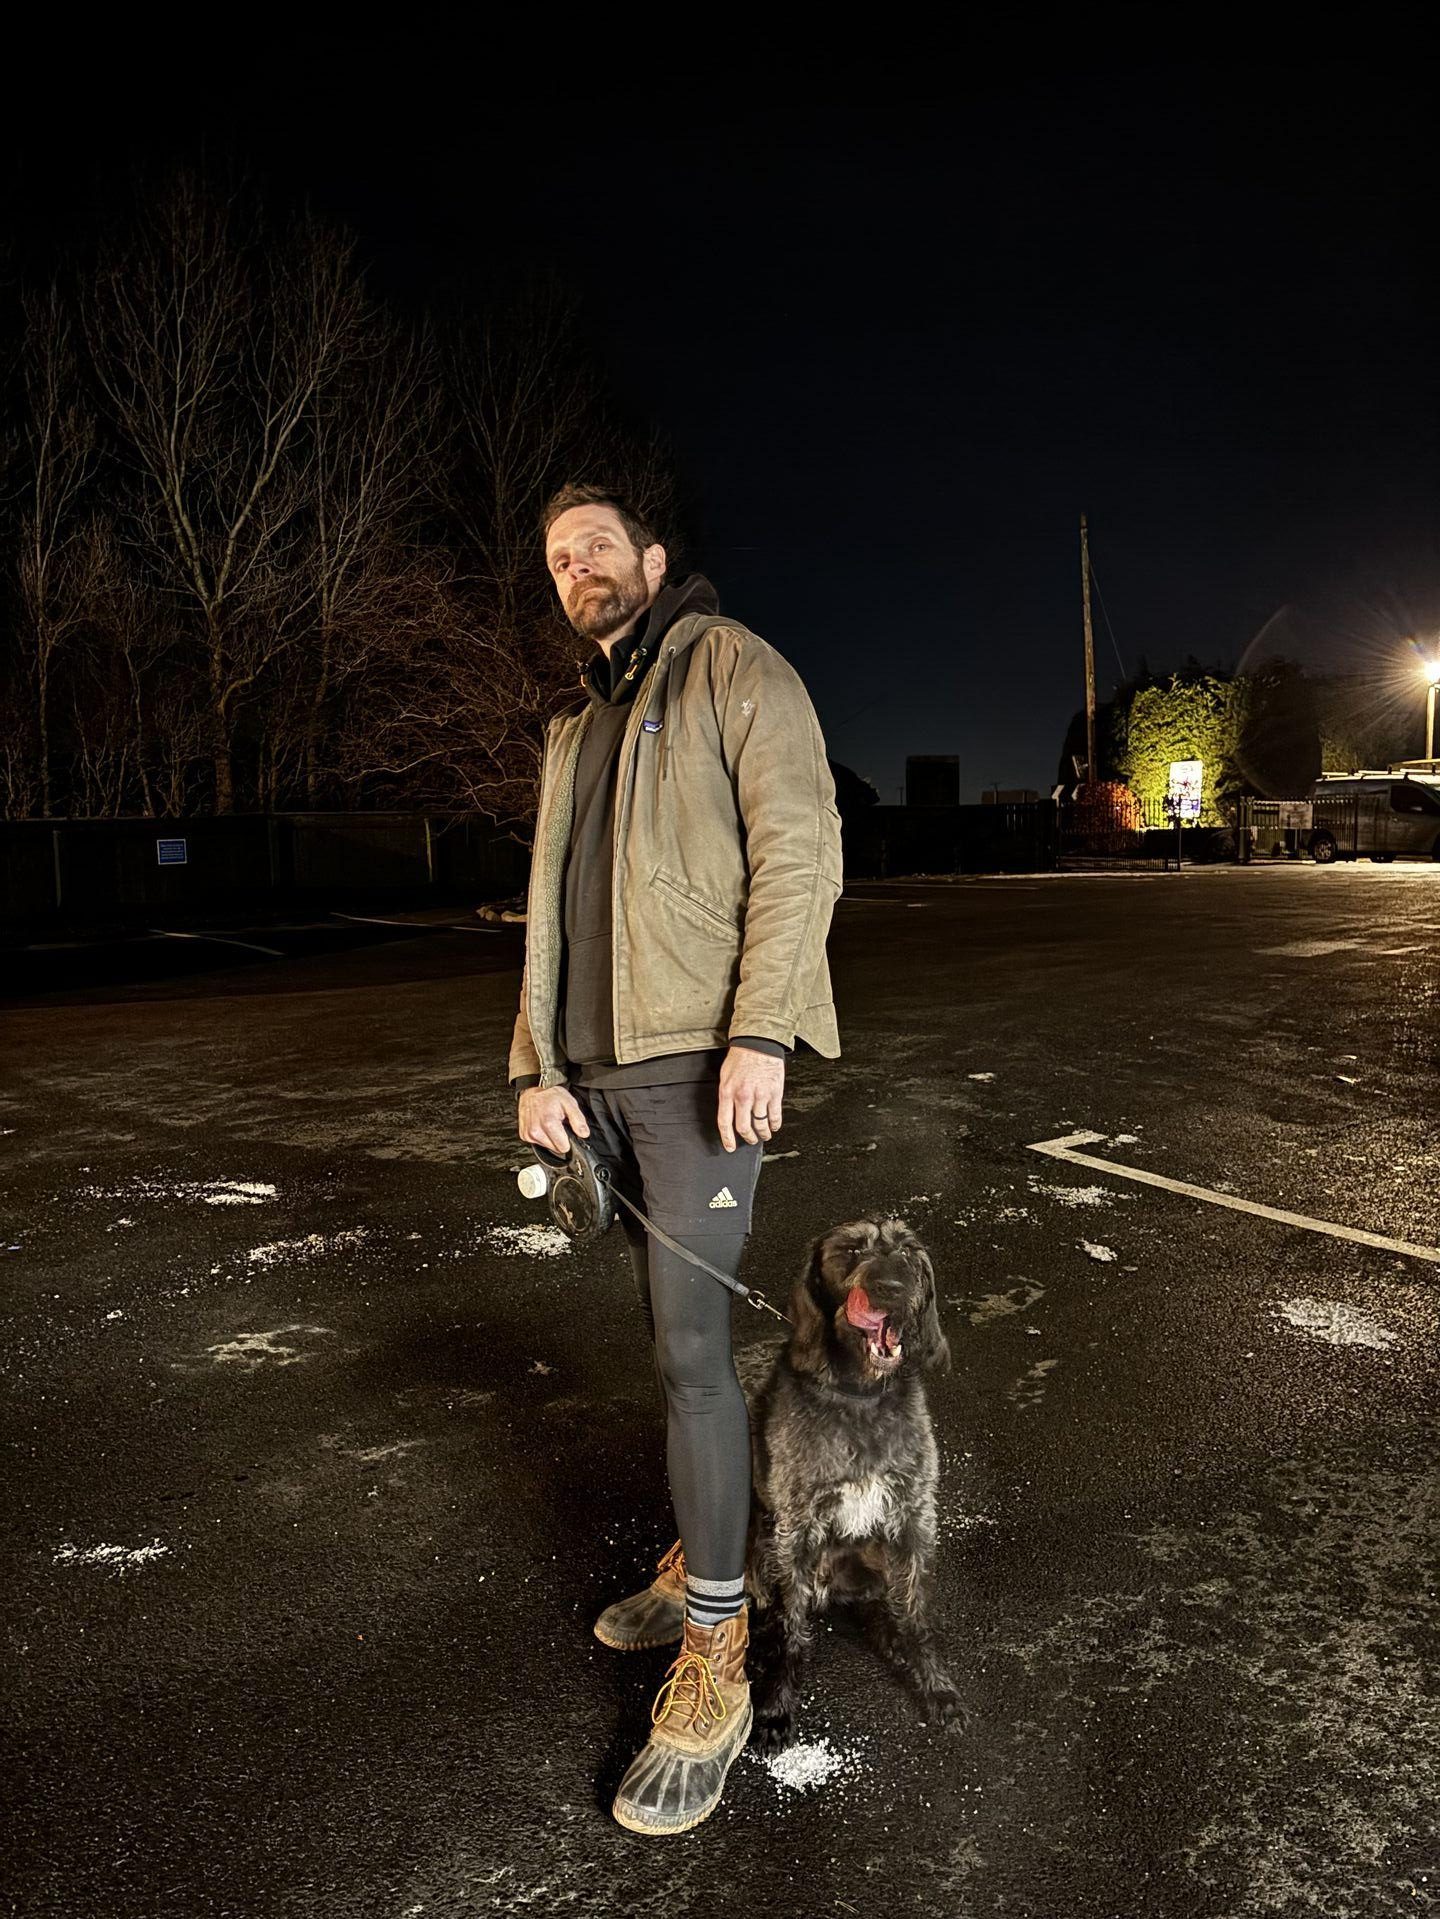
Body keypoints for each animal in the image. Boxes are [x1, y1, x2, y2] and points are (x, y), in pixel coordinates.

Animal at [737, 1220, 963, 1750]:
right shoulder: (795, 1531)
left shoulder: (912, 1518)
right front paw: (777, 1705)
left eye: (908, 1252)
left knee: (884, 1605)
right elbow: (792, 1631)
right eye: (852, 1250)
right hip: (763, 1548)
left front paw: (936, 1686)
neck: (860, 1394)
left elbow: (916, 1615)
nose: (894, 1287)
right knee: (776, 1608)